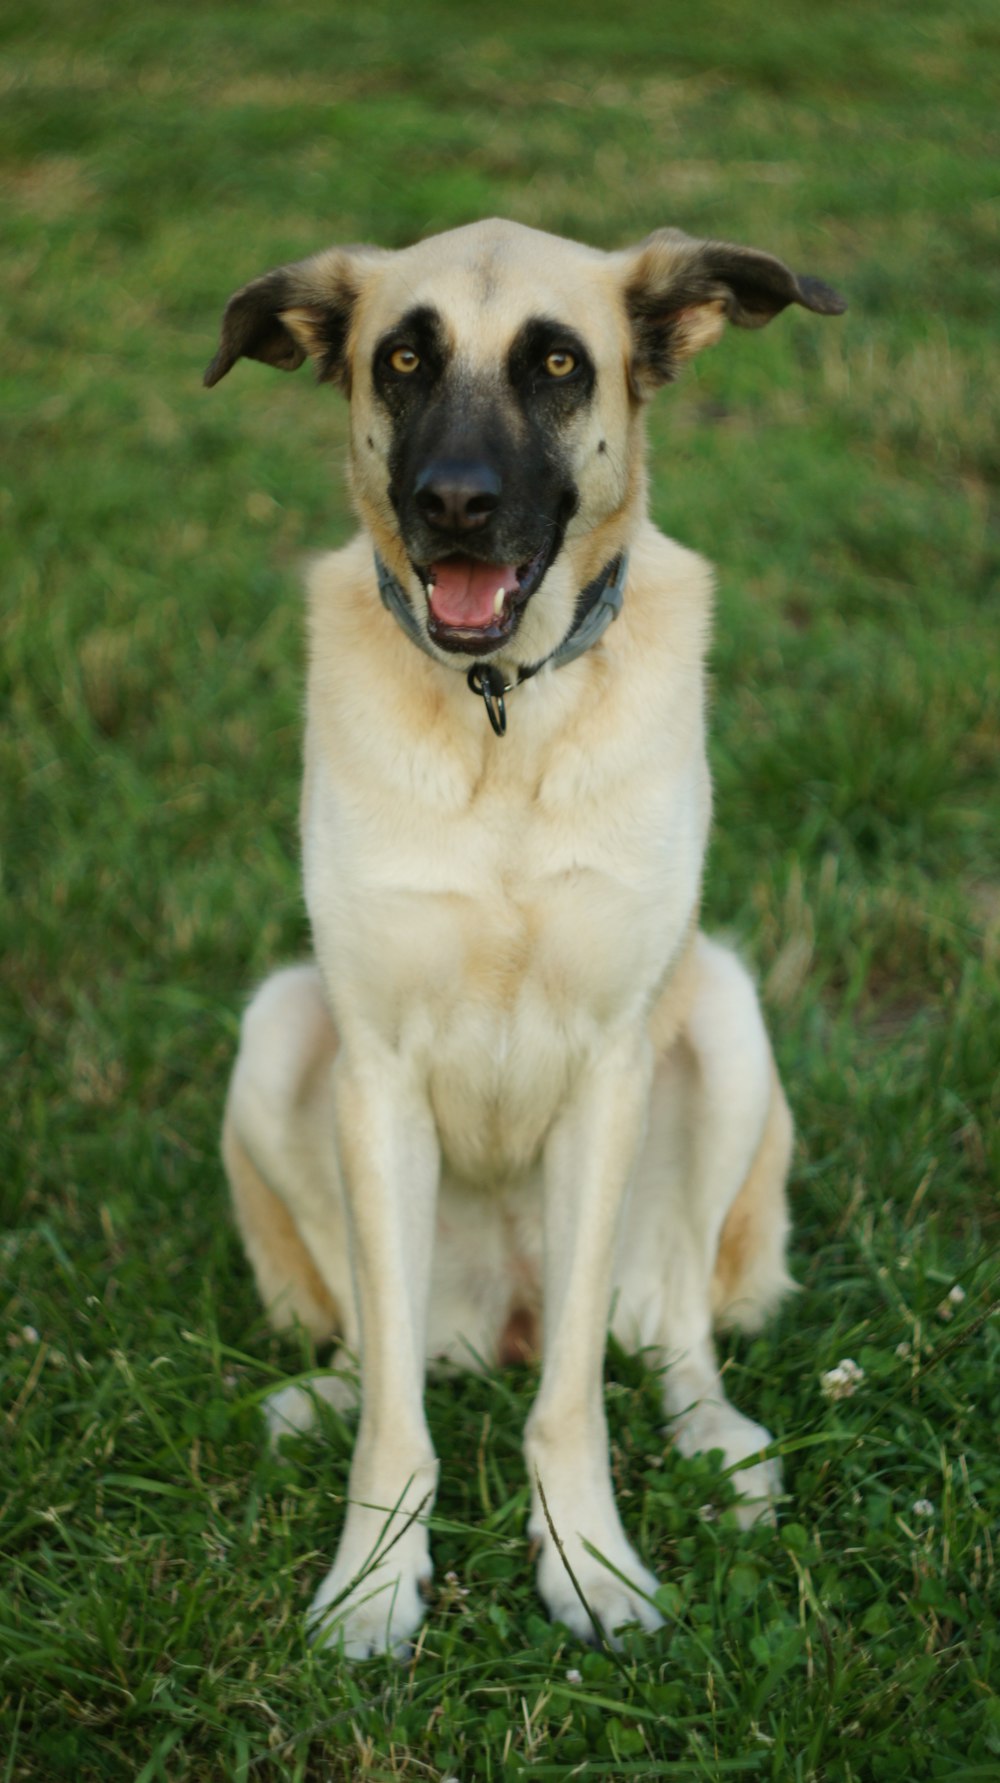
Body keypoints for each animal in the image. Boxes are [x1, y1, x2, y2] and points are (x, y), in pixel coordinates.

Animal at [206, 215, 844, 1647]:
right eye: (401, 360)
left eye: (557, 364)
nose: (452, 505)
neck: (499, 713)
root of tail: (491, 1319)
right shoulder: (376, 1069)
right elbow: (399, 1416)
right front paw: (374, 1580)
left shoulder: (611, 1063)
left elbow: (570, 1403)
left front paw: (590, 1563)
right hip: (280, 1031)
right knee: (384, 1345)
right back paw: (324, 1394)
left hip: (722, 1021)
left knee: (665, 1331)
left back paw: (720, 1441)